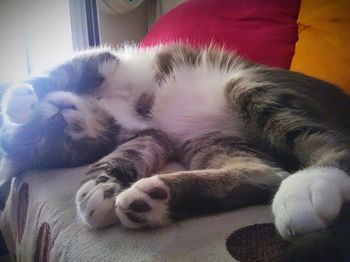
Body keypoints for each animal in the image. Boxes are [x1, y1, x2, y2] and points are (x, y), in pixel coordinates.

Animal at [2, 45, 350, 250]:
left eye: (56, 135)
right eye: (67, 144)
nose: (56, 116)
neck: (106, 107)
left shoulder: (104, 60)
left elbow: (65, 71)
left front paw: (20, 99)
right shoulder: (151, 136)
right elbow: (122, 155)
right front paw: (98, 190)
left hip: (245, 85)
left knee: (331, 144)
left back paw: (309, 184)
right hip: (208, 140)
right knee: (265, 172)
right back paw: (151, 199)